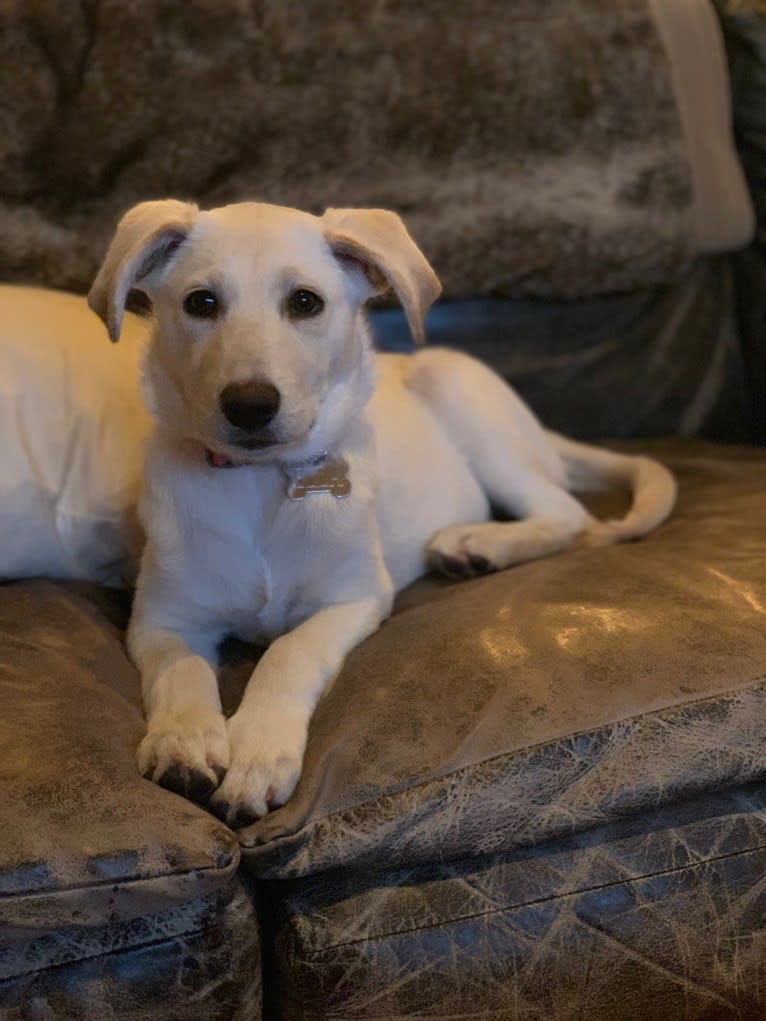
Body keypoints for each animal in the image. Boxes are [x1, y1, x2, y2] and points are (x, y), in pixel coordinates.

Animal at [89, 201, 678, 829]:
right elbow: (181, 673)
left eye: (305, 302)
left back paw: (476, 544)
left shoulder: (356, 597)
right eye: (201, 302)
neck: (261, 480)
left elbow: (287, 653)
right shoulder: (162, 618)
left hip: (454, 386)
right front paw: (185, 741)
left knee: (565, 512)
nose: (250, 405)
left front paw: (257, 750)